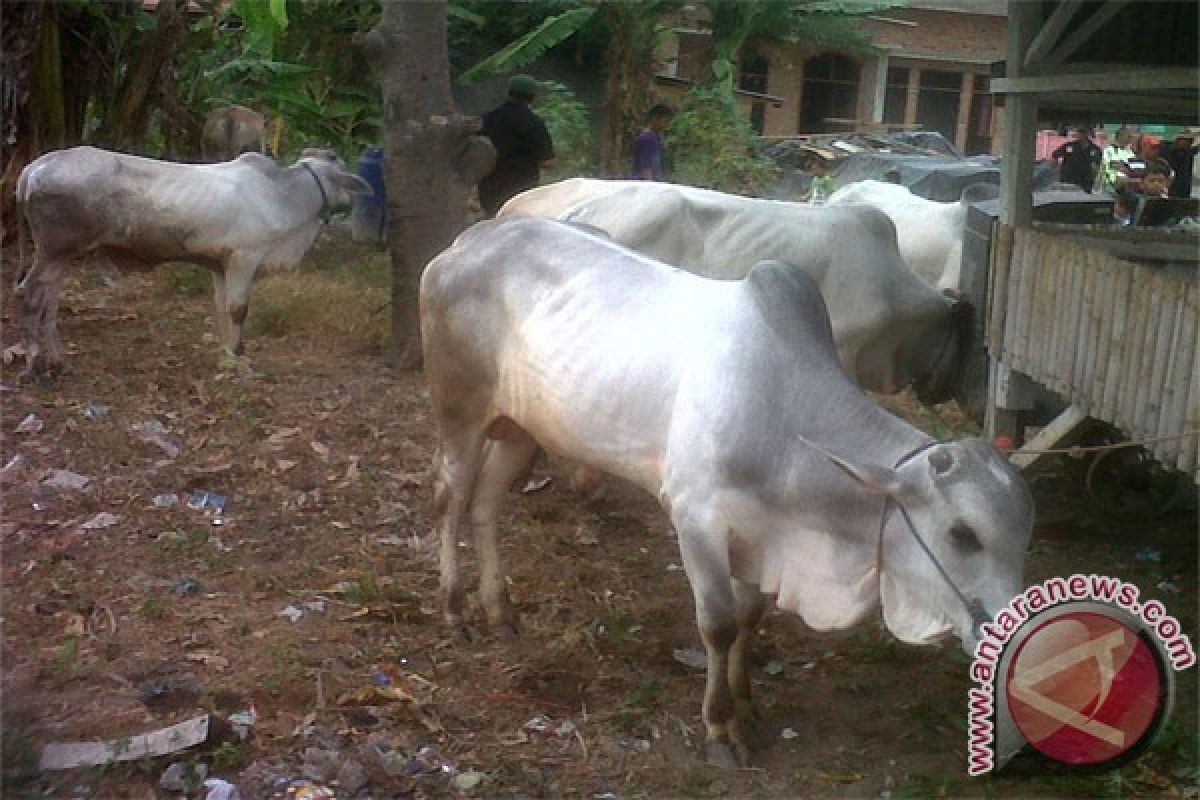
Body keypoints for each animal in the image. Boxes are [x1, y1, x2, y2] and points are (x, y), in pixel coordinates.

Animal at [15, 144, 369, 376]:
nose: (350, 206)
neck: (285, 195)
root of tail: (33, 169)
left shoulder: (221, 265)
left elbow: (222, 308)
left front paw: (228, 353)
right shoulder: (244, 258)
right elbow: (237, 309)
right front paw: (238, 358)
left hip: (62, 254)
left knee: (50, 297)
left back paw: (56, 358)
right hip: (54, 250)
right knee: (29, 293)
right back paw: (35, 362)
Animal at [420, 215, 1032, 767]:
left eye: (1022, 537)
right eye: (963, 534)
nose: (1007, 630)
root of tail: (466, 241)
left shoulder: (760, 535)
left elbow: (749, 618)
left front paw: (747, 707)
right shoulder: (696, 517)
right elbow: (718, 622)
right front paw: (719, 729)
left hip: (522, 429)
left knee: (486, 503)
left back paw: (499, 608)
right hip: (459, 411)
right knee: (451, 499)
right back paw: (454, 610)